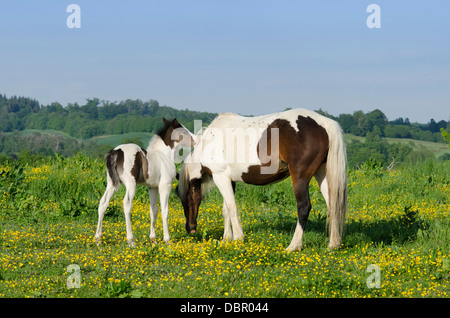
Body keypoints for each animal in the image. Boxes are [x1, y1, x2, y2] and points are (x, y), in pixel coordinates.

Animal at [94, 118, 194, 247]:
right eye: (184, 131)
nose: (196, 140)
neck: (164, 155)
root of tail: (116, 152)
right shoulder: (165, 186)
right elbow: (165, 211)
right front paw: (167, 239)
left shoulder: (152, 188)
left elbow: (154, 211)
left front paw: (153, 239)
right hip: (131, 184)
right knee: (127, 204)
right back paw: (131, 241)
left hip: (111, 184)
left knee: (103, 203)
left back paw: (98, 239)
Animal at [176, 109, 348, 251]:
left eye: (184, 197)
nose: (190, 228)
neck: (209, 143)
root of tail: (324, 124)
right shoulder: (229, 180)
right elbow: (226, 210)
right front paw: (226, 239)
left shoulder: (221, 177)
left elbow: (232, 208)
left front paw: (238, 238)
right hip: (322, 174)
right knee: (333, 205)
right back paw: (333, 244)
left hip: (300, 177)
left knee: (304, 207)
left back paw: (293, 246)